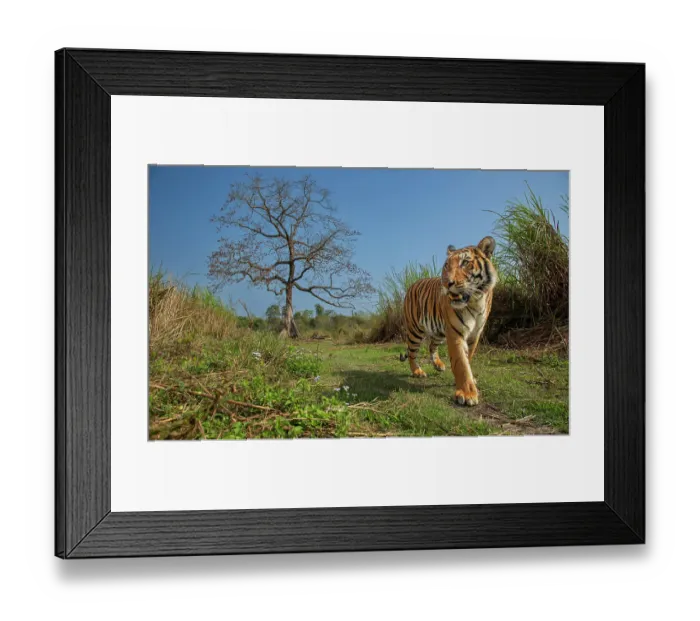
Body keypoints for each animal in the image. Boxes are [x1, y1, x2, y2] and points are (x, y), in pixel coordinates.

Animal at [399, 237, 498, 406]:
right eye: (446, 265)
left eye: (465, 263)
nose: (446, 283)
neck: (475, 302)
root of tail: (413, 284)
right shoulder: (455, 332)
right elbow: (461, 362)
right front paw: (467, 393)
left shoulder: (474, 335)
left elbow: (468, 358)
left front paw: (469, 382)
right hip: (415, 330)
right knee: (412, 353)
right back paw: (418, 371)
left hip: (438, 331)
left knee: (432, 346)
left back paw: (438, 365)